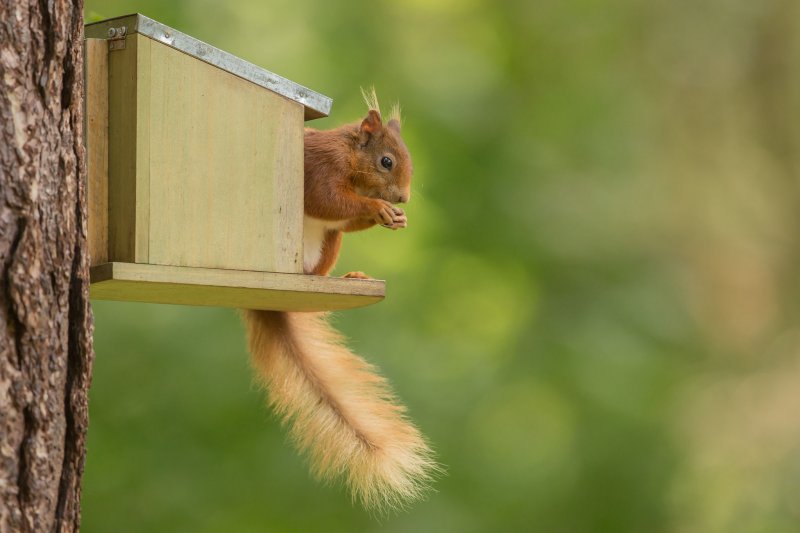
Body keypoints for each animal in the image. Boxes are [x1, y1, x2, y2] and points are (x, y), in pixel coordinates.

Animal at [242, 89, 438, 510]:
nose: (403, 199)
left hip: (328, 245)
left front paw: (394, 218)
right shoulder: (321, 168)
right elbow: (327, 199)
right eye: (386, 161)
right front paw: (377, 208)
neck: (351, 159)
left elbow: (344, 218)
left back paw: (347, 278)